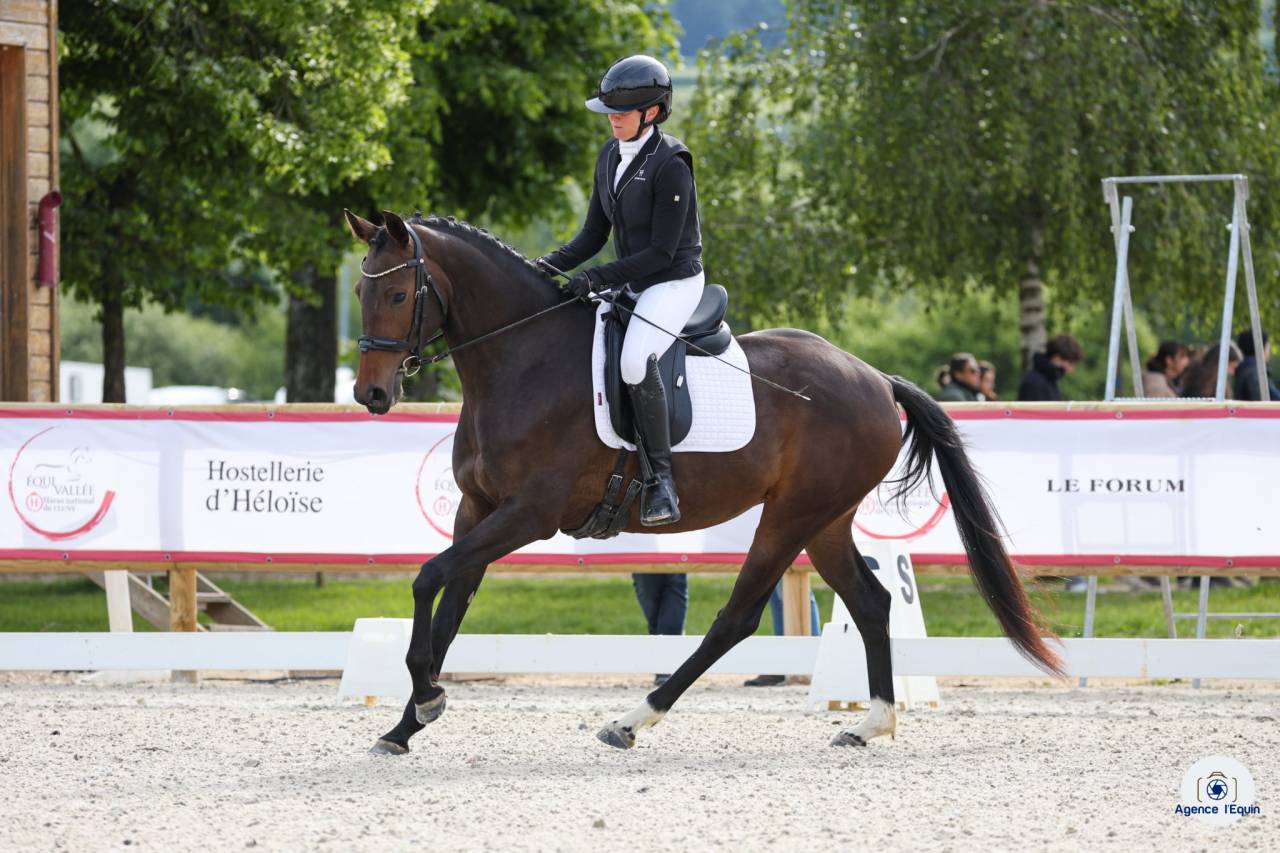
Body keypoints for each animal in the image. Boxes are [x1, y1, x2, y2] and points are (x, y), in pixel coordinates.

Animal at [344, 208, 1063, 755]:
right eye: (359, 294)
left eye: (399, 294)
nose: (372, 395)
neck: (522, 360)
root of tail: (875, 377)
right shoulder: (478, 508)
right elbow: (449, 603)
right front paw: (407, 723)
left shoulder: (530, 513)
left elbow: (428, 577)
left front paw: (425, 696)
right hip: (826, 519)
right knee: (872, 602)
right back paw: (871, 724)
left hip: (791, 515)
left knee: (738, 616)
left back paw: (632, 720)